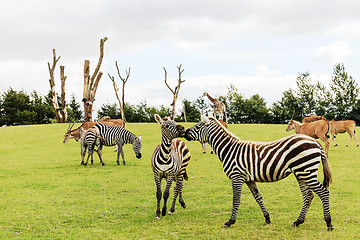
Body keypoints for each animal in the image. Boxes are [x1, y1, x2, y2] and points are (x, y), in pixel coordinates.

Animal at [184, 115, 334, 232]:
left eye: (198, 126)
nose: (185, 132)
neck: (229, 150)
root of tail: (315, 142)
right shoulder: (249, 179)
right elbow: (258, 198)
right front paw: (267, 218)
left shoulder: (236, 176)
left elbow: (236, 200)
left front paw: (230, 222)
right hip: (301, 173)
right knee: (308, 196)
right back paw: (298, 221)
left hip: (306, 172)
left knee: (323, 192)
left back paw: (328, 223)